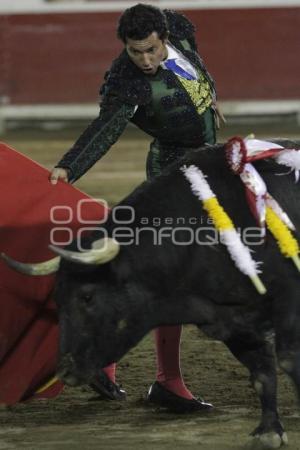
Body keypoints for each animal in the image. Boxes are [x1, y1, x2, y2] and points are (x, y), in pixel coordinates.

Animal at [2, 140, 300, 446]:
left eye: (87, 296)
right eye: (57, 299)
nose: (64, 370)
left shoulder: (287, 303)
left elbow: (288, 359)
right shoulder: (229, 321)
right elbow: (262, 373)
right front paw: (269, 431)